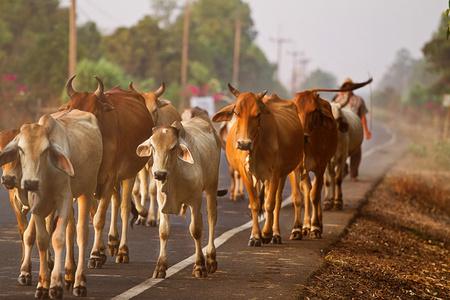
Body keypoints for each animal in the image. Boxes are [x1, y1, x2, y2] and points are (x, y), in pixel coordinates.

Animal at [0, 109, 102, 298]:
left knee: (81, 233)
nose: (30, 182)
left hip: (87, 190)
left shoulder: (65, 199)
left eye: (46, 150)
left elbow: (58, 238)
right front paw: (42, 285)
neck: (46, 174)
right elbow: (41, 239)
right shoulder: (36, 205)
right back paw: (68, 275)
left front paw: (55, 285)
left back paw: (79, 282)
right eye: (21, 149)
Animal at [60, 76, 154, 268]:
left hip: (129, 174)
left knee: (124, 208)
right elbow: (93, 214)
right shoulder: (89, 182)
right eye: (72, 110)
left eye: (96, 113)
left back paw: (123, 251)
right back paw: (112, 242)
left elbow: (99, 218)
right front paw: (101, 251)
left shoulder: (109, 178)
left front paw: (96, 255)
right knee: (116, 201)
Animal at [128, 81, 181, 226]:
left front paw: (150, 217)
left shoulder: (155, 166)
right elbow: (141, 189)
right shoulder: (141, 165)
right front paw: (141, 214)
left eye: (155, 109)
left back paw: (158, 216)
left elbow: (152, 190)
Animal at [134, 118, 224, 278]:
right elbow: (164, 231)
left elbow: (196, 230)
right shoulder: (162, 200)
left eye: (173, 148)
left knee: (211, 216)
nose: (159, 174)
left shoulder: (195, 199)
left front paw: (199, 266)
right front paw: (160, 267)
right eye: (153, 147)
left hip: (212, 185)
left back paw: (211, 259)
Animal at [210, 82, 302, 246]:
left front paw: (266, 233)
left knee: (277, 201)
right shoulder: (245, 172)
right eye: (237, 112)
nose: (244, 144)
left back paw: (276, 234)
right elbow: (255, 204)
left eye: (258, 114)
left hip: (283, 174)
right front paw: (255, 236)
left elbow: (270, 203)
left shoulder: (275, 173)